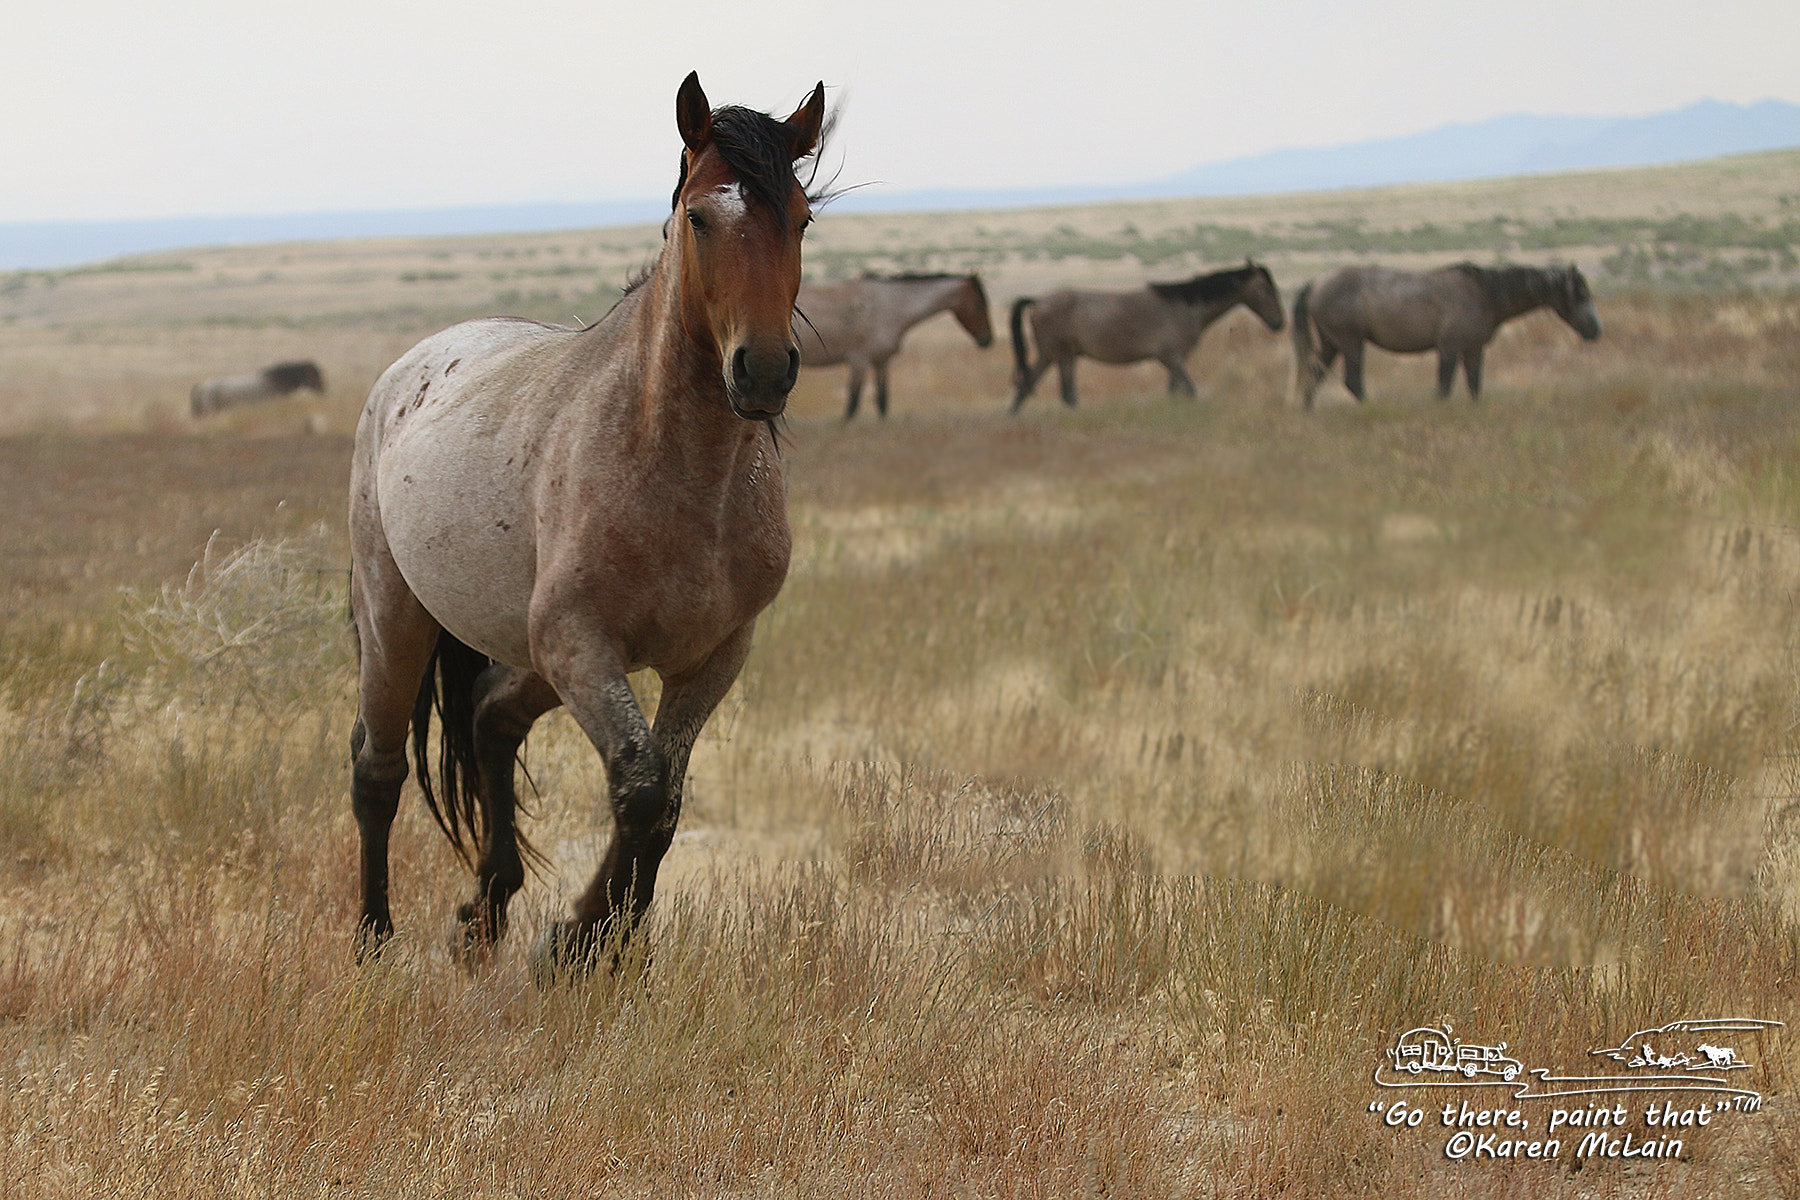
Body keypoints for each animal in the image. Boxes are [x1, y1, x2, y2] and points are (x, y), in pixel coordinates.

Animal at [347, 72, 824, 978]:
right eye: (700, 217)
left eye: (803, 216)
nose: (764, 371)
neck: (679, 474)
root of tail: (403, 373)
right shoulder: (582, 644)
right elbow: (639, 786)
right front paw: (577, 943)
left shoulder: (711, 658)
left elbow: (665, 803)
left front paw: (610, 944)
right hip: (401, 622)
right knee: (376, 769)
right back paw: (371, 943)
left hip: (530, 653)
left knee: (490, 719)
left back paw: (483, 913)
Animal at [799, 271, 1000, 417]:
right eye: (979, 304)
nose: (987, 339)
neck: (890, 307)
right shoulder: (859, 361)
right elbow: (852, 405)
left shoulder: (882, 361)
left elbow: (882, 401)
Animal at [1008, 262, 1288, 413]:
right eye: (1265, 288)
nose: (1279, 322)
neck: (1185, 306)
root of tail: (1037, 301)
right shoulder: (1171, 358)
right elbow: (1190, 390)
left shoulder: (1175, 360)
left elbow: (1175, 391)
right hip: (1064, 356)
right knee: (1067, 395)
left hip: (1049, 355)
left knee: (1025, 387)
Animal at [1296, 262, 1605, 408]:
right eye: (1578, 294)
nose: (1595, 330)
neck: (1484, 294)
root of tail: (1316, 282)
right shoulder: (1449, 349)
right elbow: (1444, 387)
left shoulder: (1473, 350)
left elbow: (1474, 385)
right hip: (1351, 344)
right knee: (1352, 381)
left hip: (1332, 344)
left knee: (1313, 375)